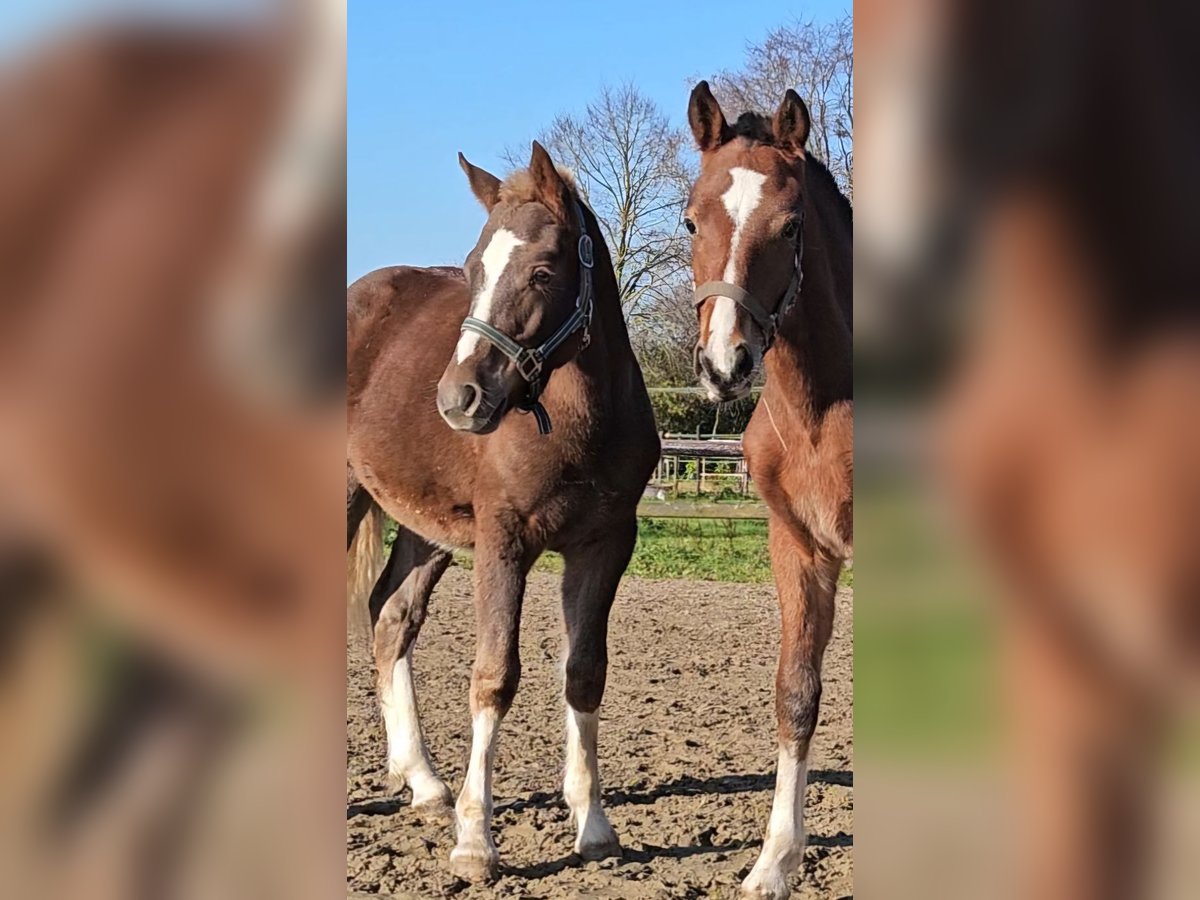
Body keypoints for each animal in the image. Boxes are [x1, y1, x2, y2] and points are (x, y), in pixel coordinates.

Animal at [348, 144, 662, 883]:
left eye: (542, 271)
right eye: (471, 268)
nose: (458, 399)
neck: (579, 424)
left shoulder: (605, 543)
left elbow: (584, 672)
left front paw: (595, 827)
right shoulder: (504, 540)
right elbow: (493, 677)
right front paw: (475, 843)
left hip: (425, 527)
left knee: (390, 618)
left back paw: (423, 782)